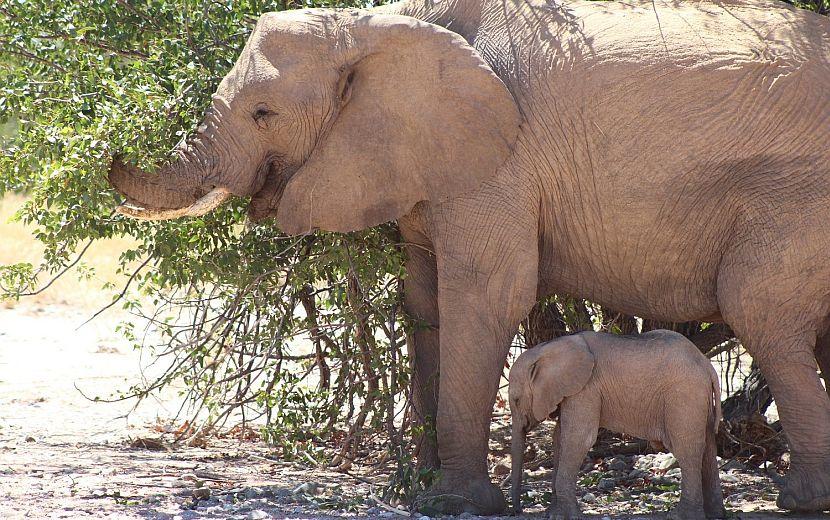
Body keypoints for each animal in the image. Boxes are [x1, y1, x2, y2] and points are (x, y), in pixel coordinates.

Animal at [510, 332, 724, 516]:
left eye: (516, 400)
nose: (517, 511)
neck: (549, 347)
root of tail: (707, 365)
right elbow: (559, 438)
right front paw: (552, 514)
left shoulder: (586, 388)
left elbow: (579, 439)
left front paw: (563, 516)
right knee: (708, 448)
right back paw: (715, 514)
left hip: (684, 396)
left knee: (686, 449)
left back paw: (680, 515)